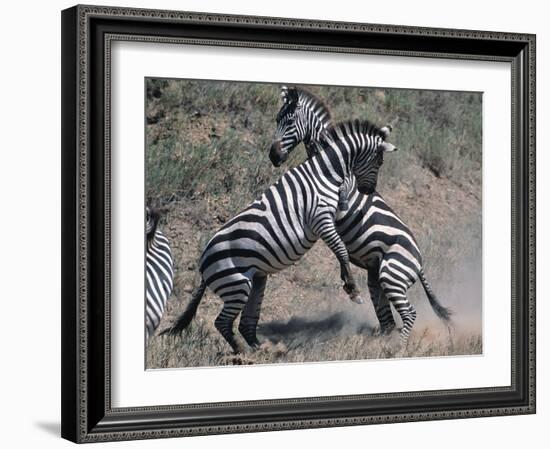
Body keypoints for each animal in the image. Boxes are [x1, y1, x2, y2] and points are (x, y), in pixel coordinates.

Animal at [161, 120, 396, 354]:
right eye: (380, 161)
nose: (368, 190)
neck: (324, 173)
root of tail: (203, 263)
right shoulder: (320, 218)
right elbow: (341, 249)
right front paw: (352, 288)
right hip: (237, 284)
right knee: (222, 322)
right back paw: (243, 353)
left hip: (255, 279)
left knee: (245, 322)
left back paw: (261, 348)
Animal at [268, 85, 452, 344]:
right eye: (277, 119)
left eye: (291, 121)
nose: (273, 156)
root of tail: (420, 262)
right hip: (378, 277)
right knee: (386, 319)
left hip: (392, 275)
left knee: (408, 313)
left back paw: (397, 348)